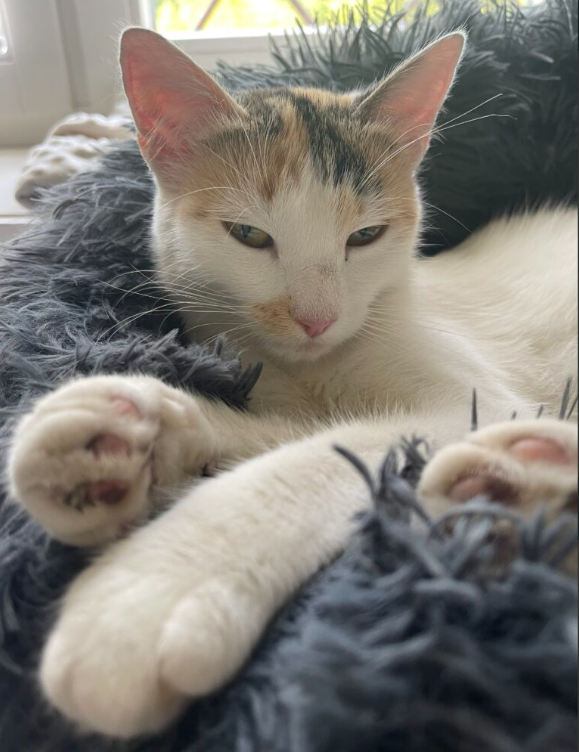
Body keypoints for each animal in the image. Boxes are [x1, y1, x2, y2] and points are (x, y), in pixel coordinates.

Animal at [7, 28, 578, 738]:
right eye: (249, 235)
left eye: (366, 235)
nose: (317, 318)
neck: (312, 367)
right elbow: (293, 432)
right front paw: (124, 437)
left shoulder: (482, 402)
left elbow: (331, 450)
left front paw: (156, 586)